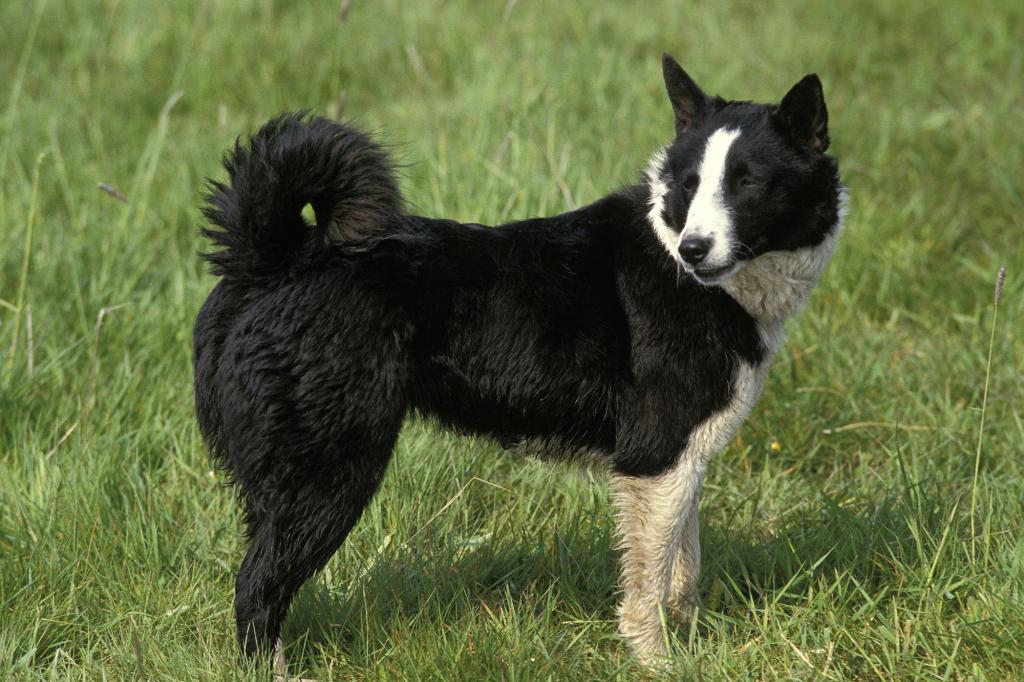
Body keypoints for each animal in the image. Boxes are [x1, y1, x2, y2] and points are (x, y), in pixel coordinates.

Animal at [193, 54, 847, 663]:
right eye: (688, 184)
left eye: (746, 183)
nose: (694, 249)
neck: (680, 258)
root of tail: (275, 258)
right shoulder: (654, 456)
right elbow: (649, 585)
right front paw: (657, 662)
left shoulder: (683, 460)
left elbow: (681, 571)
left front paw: (689, 644)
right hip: (328, 471)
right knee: (257, 589)